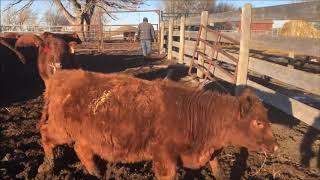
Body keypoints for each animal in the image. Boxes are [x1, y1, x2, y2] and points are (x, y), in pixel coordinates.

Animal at [37, 69, 278, 179]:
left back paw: (96, 173)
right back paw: (46, 166)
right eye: (258, 122)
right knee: (46, 135)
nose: (275, 146)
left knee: (82, 150)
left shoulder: (207, 150)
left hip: (85, 136)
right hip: (61, 129)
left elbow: (216, 165)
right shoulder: (164, 156)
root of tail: (61, 75)